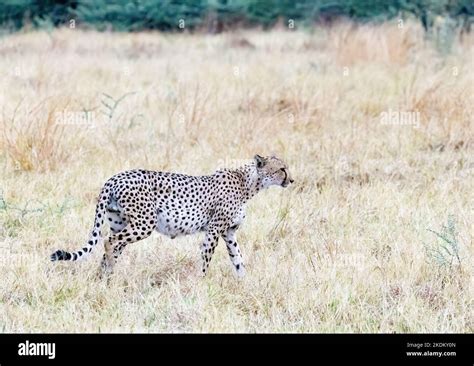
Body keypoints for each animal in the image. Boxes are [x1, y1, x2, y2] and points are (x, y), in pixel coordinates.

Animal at [50, 154, 290, 278]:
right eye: (282, 169)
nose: (292, 180)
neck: (248, 183)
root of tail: (114, 177)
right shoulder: (214, 230)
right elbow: (206, 258)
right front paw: (201, 283)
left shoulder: (229, 232)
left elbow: (238, 259)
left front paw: (244, 282)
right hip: (144, 223)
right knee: (109, 242)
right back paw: (110, 275)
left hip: (120, 222)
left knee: (113, 245)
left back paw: (103, 278)